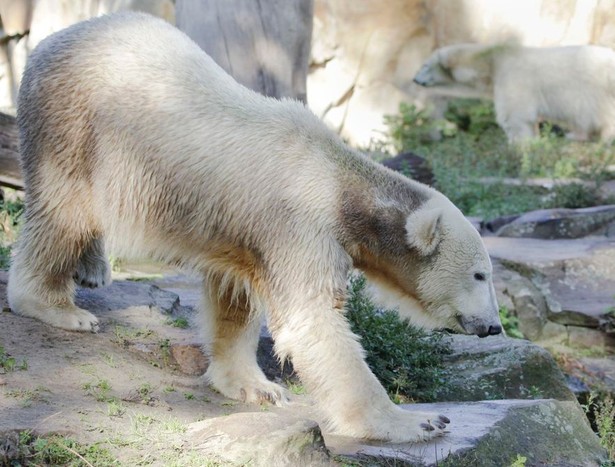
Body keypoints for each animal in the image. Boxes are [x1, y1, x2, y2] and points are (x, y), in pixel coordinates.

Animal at [7, 11, 502, 442]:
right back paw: (57, 306)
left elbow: (235, 296)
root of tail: (51, 41)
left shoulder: (247, 229)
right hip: (77, 123)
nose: (494, 327)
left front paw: (256, 386)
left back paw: (93, 268)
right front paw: (417, 421)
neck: (340, 187)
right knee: (65, 210)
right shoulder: (300, 223)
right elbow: (312, 321)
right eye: (481, 274)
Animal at [412, 42, 615, 144]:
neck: (491, 62)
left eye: (424, 65)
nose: (415, 79)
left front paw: (518, 145)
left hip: (602, 88)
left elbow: (514, 115)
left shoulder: (513, 78)